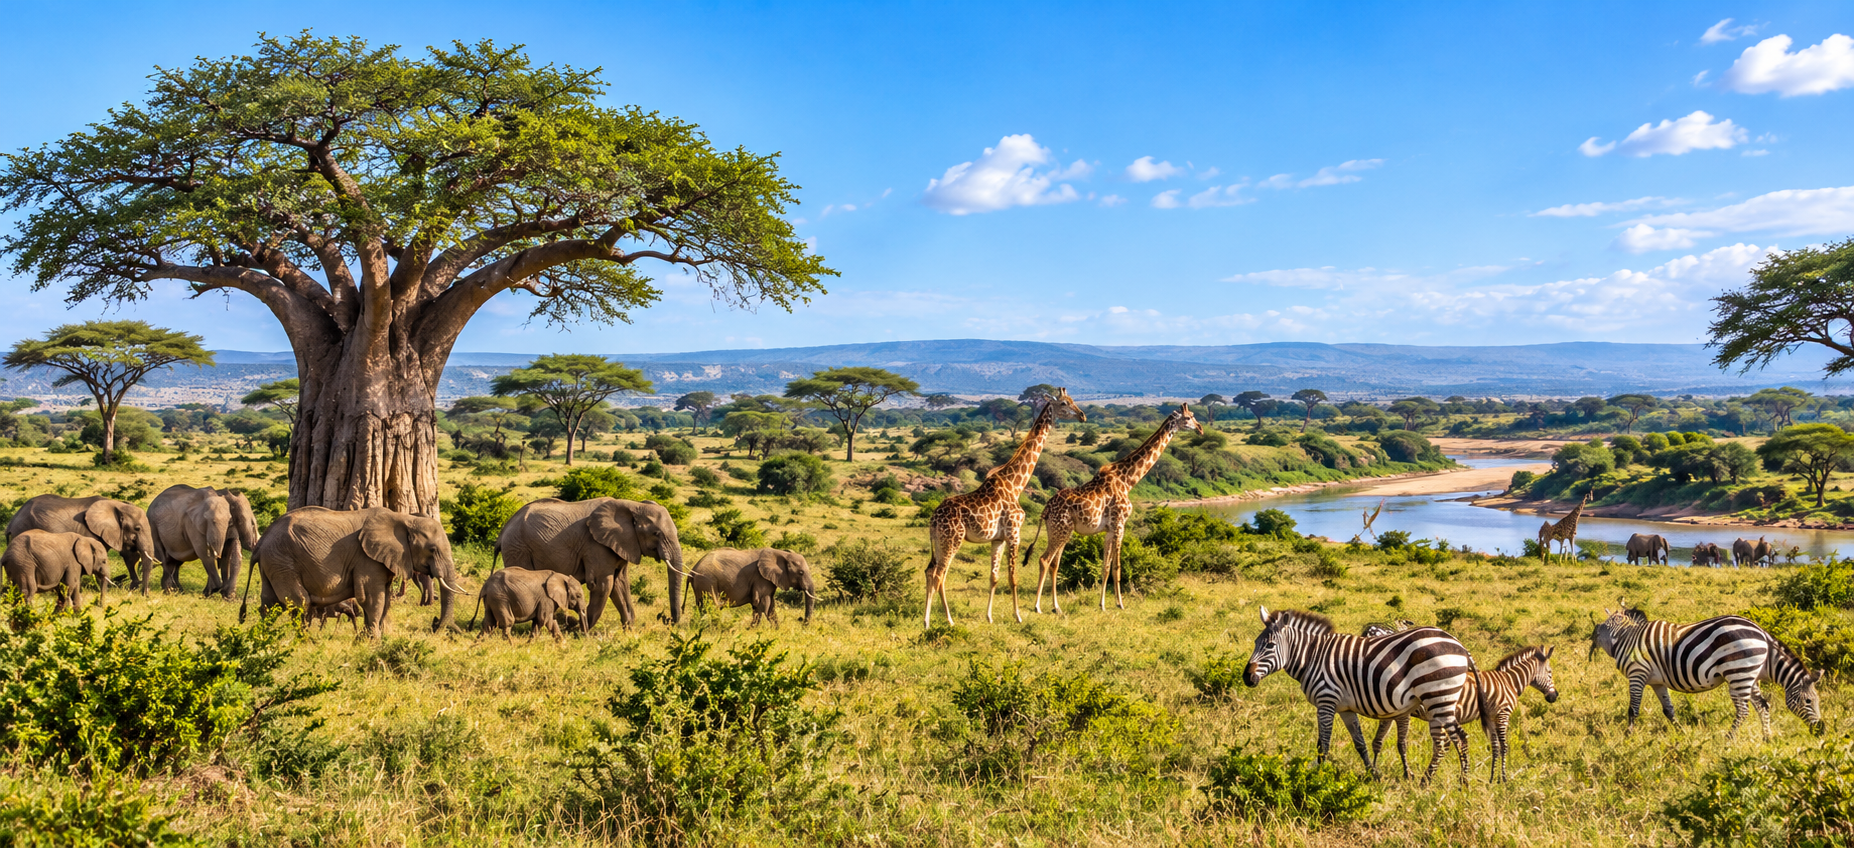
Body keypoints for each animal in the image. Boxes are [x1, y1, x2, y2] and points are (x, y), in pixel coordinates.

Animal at [6, 495, 156, 594]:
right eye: (137, 528)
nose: (145, 596)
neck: (117, 505)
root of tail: (11, 522)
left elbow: (128, 555)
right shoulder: (90, 532)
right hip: (23, 529)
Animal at [247, 507, 466, 637]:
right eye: (433, 550)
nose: (436, 626)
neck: (403, 518)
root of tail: (261, 543)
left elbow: (384, 599)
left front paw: (372, 638)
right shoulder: (367, 559)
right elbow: (372, 598)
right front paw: (374, 640)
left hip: (274, 564)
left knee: (270, 603)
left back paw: (265, 637)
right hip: (282, 561)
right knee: (300, 602)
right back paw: (304, 641)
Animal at [496, 498, 686, 631]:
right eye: (656, 533)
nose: (669, 621)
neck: (632, 505)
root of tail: (504, 530)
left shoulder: (622, 544)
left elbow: (620, 584)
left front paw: (630, 631)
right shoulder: (596, 545)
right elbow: (603, 584)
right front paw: (579, 631)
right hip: (517, 547)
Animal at [687, 547, 817, 627]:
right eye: (801, 573)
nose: (802, 622)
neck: (781, 553)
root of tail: (692, 571)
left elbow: (769, 605)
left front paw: (777, 630)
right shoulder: (761, 578)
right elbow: (762, 603)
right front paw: (751, 629)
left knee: (701, 606)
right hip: (707, 581)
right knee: (712, 605)